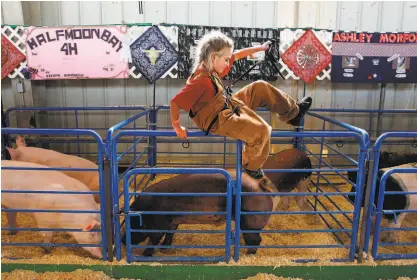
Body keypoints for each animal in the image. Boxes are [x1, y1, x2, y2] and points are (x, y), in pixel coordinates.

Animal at [122, 149, 310, 256]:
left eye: (133, 224)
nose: (123, 241)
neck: (147, 209)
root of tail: (261, 185)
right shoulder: (172, 221)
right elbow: (170, 234)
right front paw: (164, 249)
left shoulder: (158, 224)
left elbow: (154, 239)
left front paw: (146, 255)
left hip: (250, 220)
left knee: (256, 240)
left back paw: (247, 256)